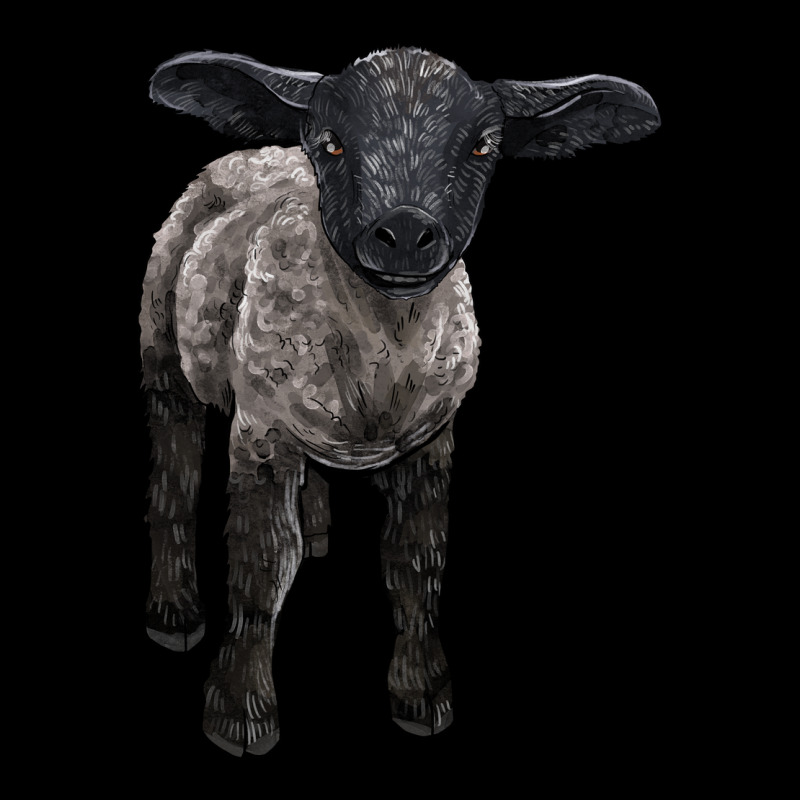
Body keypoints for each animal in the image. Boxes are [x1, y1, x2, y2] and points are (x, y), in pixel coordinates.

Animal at [142, 46, 660, 756]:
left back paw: (317, 528)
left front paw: (423, 695)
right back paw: (173, 612)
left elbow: (416, 562)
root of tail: (255, 154)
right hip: (163, 351)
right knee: (174, 467)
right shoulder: (260, 432)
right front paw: (240, 711)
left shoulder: (431, 440)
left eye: (482, 146)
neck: (380, 355)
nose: (408, 232)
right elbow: (261, 564)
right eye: (331, 143)